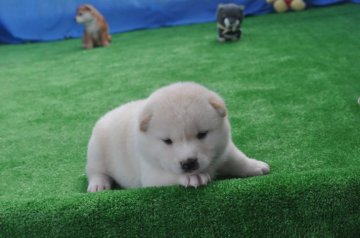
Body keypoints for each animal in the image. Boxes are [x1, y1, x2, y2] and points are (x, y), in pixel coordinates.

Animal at [86, 82, 268, 192]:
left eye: (202, 134)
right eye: (167, 141)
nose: (189, 163)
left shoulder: (224, 149)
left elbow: (238, 159)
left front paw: (256, 166)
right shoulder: (152, 174)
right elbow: (171, 174)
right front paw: (194, 177)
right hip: (96, 151)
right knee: (95, 171)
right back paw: (99, 184)